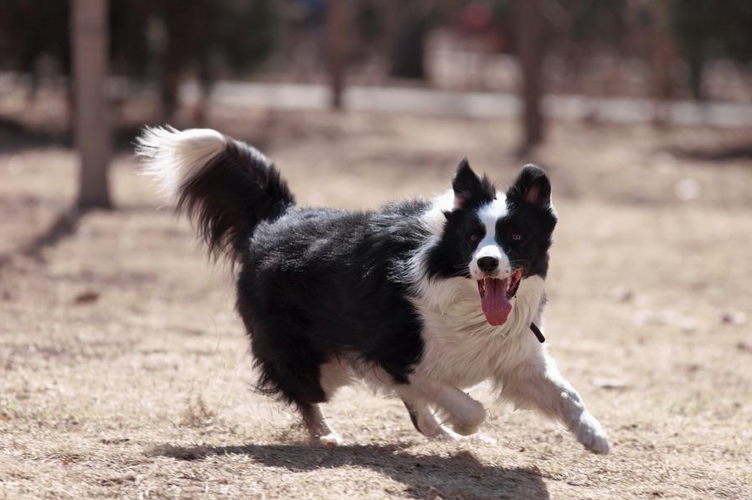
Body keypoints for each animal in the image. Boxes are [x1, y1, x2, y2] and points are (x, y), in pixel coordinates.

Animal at [137, 126, 612, 454]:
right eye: (473, 237)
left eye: (514, 236)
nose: (488, 263)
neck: (458, 288)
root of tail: (276, 216)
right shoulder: (397, 350)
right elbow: (466, 404)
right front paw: (463, 425)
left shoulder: (514, 356)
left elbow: (566, 393)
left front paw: (594, 436)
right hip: (313, 361)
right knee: (309, 395)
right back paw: (328, 435)